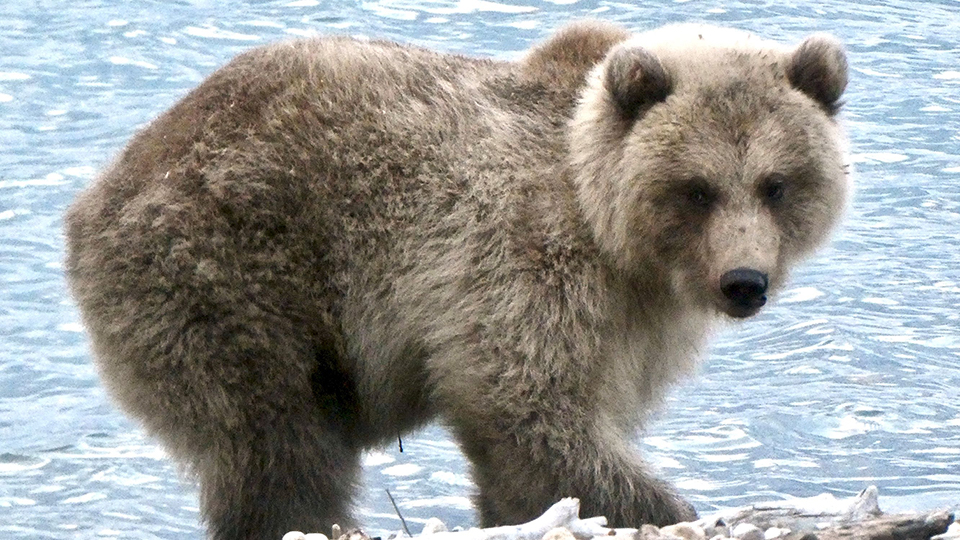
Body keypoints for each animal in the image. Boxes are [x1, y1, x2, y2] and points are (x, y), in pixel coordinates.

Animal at [64, 20, 849, 540]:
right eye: (697, 188)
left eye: (777, 183)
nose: (744, 281)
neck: (613, 235)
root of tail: (100, 191)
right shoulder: (524, 259)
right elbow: (527, 407)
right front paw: (665, 508)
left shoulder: (635, 319)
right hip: (225, 269)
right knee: (274, 442)